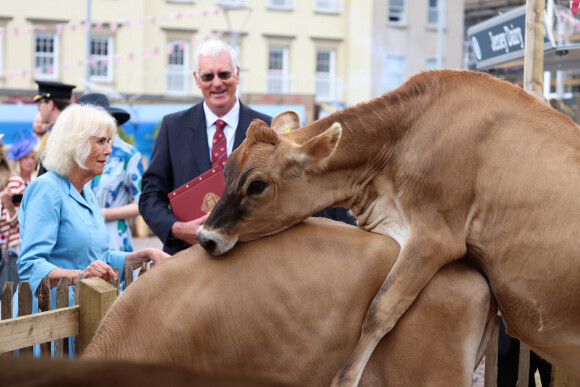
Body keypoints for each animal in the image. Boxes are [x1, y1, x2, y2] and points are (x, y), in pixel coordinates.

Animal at [197, 69, 580, 384]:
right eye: (226, 170)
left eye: (257, 185)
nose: (205, 237)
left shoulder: (436, 238)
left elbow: (380, 310)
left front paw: (344, 380)